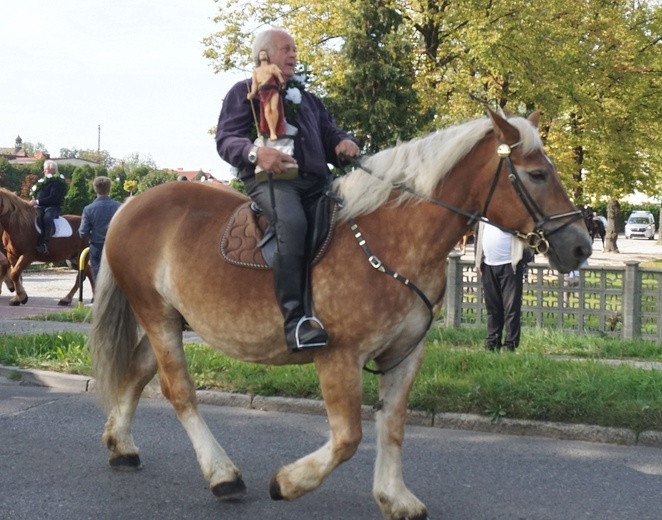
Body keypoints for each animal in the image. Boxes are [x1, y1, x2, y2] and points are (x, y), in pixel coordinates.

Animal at [91, 110, 592, 520]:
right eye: (537, 174)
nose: (581, 246)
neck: (392, 240)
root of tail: (131, 204)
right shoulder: (340, 357)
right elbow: (349, 437)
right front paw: (289, 482)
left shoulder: (404, 356)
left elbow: (393, 425)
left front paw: (394, 497)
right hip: (157, 315)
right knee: (179, 391)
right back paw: (222, 474)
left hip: (173, 319)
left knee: (138, 371)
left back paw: (121, 446)